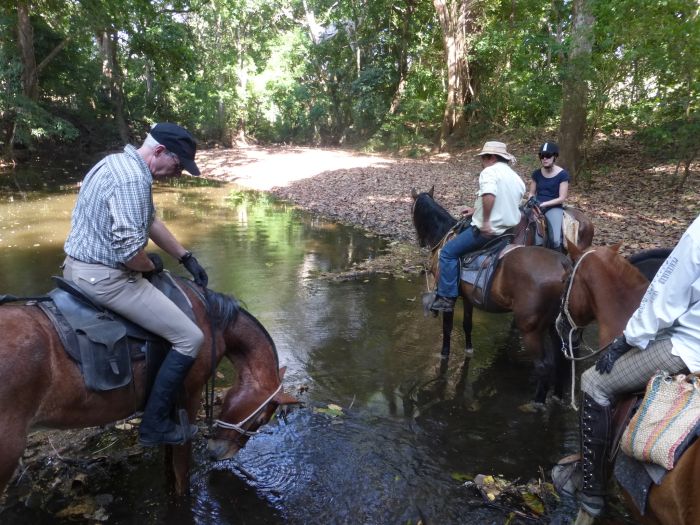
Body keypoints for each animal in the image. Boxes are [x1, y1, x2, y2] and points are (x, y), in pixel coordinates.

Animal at [0, 276, 298, 498]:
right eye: (261, 419)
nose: (217, 453)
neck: (212, 322)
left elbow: (169, 466)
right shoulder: (188, 399)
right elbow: (181, 472)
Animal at [410, 188, 576, 406]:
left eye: (411, 210)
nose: (420, 241)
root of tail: (565, 266)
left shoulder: (448, 298)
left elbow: (447, 329)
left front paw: (444, 354)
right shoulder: (468, 299)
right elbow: (467, 325)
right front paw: (469, 349)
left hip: (530, 329)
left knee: (543, 365)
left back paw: (537, 403)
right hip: (554, 325)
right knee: (560, 359)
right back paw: (556, 395)